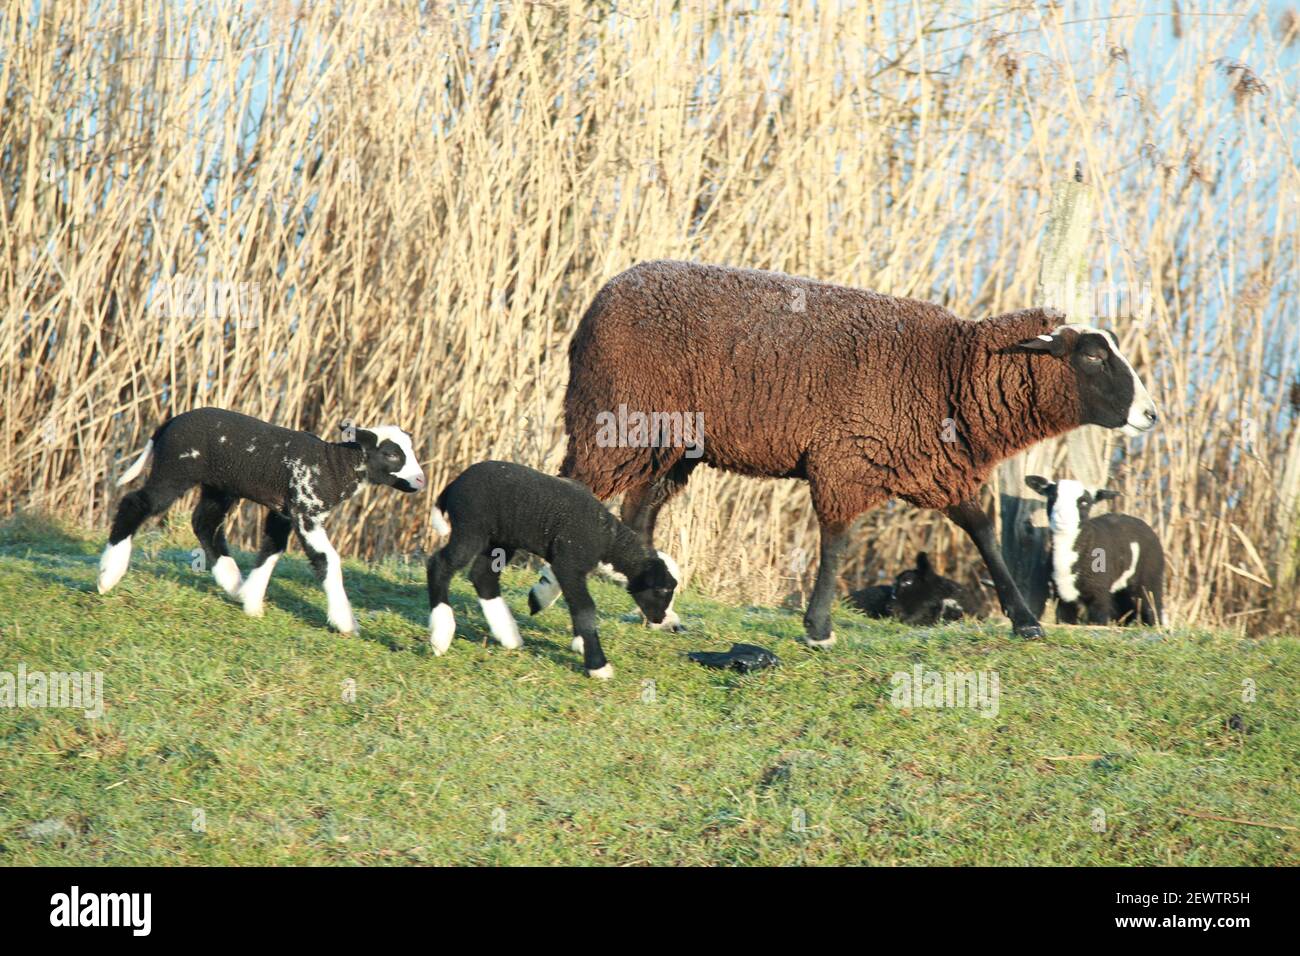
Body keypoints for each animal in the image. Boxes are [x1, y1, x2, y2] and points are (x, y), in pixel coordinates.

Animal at [103, 405, 426, 634]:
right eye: (391, 454)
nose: (421, 480)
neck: (334, 466)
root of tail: (168, 423)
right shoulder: (305, 512)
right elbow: (327, 560)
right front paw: (345, 622)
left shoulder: (284, 511)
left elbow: (272, 549)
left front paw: (251, 601)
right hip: (174, 471)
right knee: (136, 503)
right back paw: (108, 574)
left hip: (219, 485)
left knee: (205, 522)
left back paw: (232, 581)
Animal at [426, 460, 681, 676]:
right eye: (662, 590)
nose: (660, 619)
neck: (609, 540)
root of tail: (453, 484)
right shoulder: (569, 563)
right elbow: (585, 608)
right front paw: (597, 665)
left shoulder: (568, 566)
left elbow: (575, 603)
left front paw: (580, 643)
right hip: (471, 528)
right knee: (440, 564)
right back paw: (442, 634)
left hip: (500, 540)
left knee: (483, 577)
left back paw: (509, 636)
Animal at [1029, 476, 1164, 629]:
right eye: (1052, 496)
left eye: (1084, 502)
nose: (1062, 518)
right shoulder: (1062, 597)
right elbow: (1065, 620)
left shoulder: (1098, 593)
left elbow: (1099, 620)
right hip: (1121, 591)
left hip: (1150, 579)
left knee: (1153, 607)